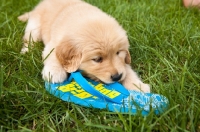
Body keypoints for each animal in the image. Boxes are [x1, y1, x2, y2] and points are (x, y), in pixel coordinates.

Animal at [18, 0, 150, 93]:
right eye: (97, 59)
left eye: (118, 53)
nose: (117, 77)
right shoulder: (53, 44)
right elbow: (53, 56)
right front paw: (54, 72)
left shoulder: (122, 64)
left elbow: (127, 69)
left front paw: (138, 86)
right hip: (35, 26)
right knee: (29, 38)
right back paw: (26, 51)